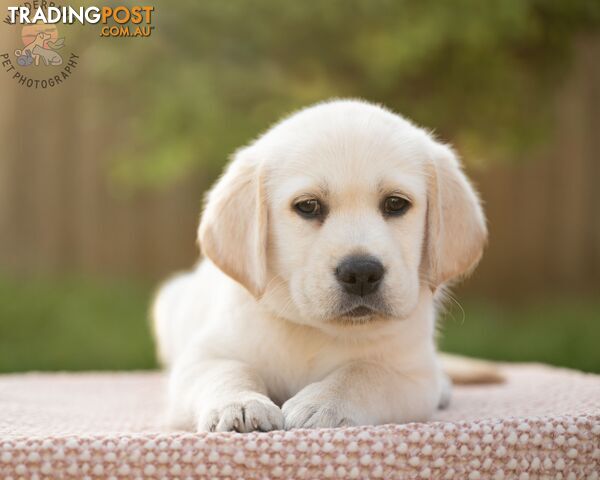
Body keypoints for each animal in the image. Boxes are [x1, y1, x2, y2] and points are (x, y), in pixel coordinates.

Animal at [152, 99, 490, 434]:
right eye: (308, 206)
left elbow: (365, 371)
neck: (315, 331)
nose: (361, 273)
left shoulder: (412, 377)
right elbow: (225, 371)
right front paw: (240, 404)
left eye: (396, 204)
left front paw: (324, 403)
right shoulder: (203, 356)